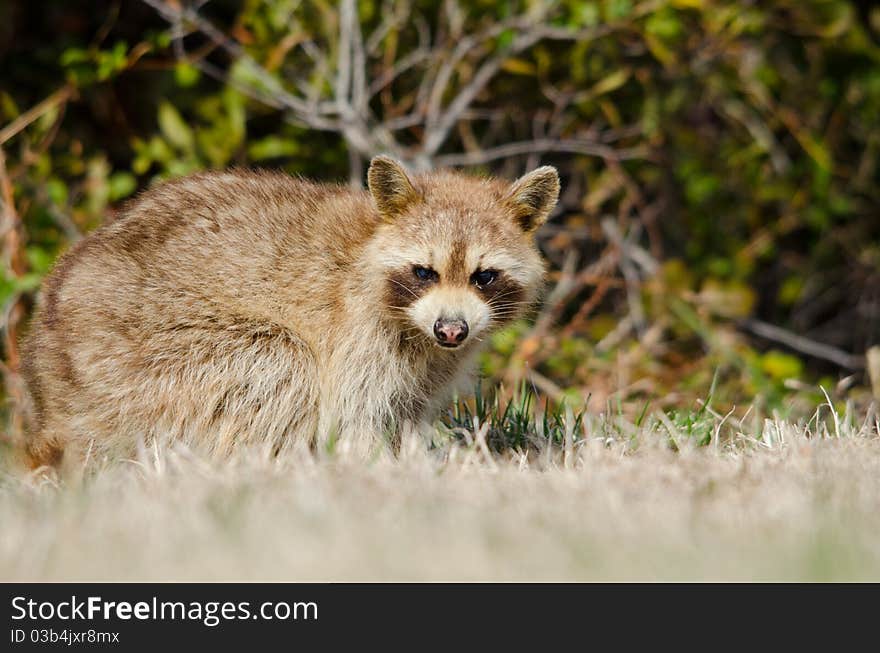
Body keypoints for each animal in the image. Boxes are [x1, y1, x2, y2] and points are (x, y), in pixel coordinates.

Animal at [20, 155, 560, 466]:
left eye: (483, 276)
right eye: (424, 272)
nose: (452, 329)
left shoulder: (428, 362)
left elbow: (406, 411)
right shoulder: (357, 334)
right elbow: (351, 415)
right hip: (133, 364)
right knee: (281, 362)